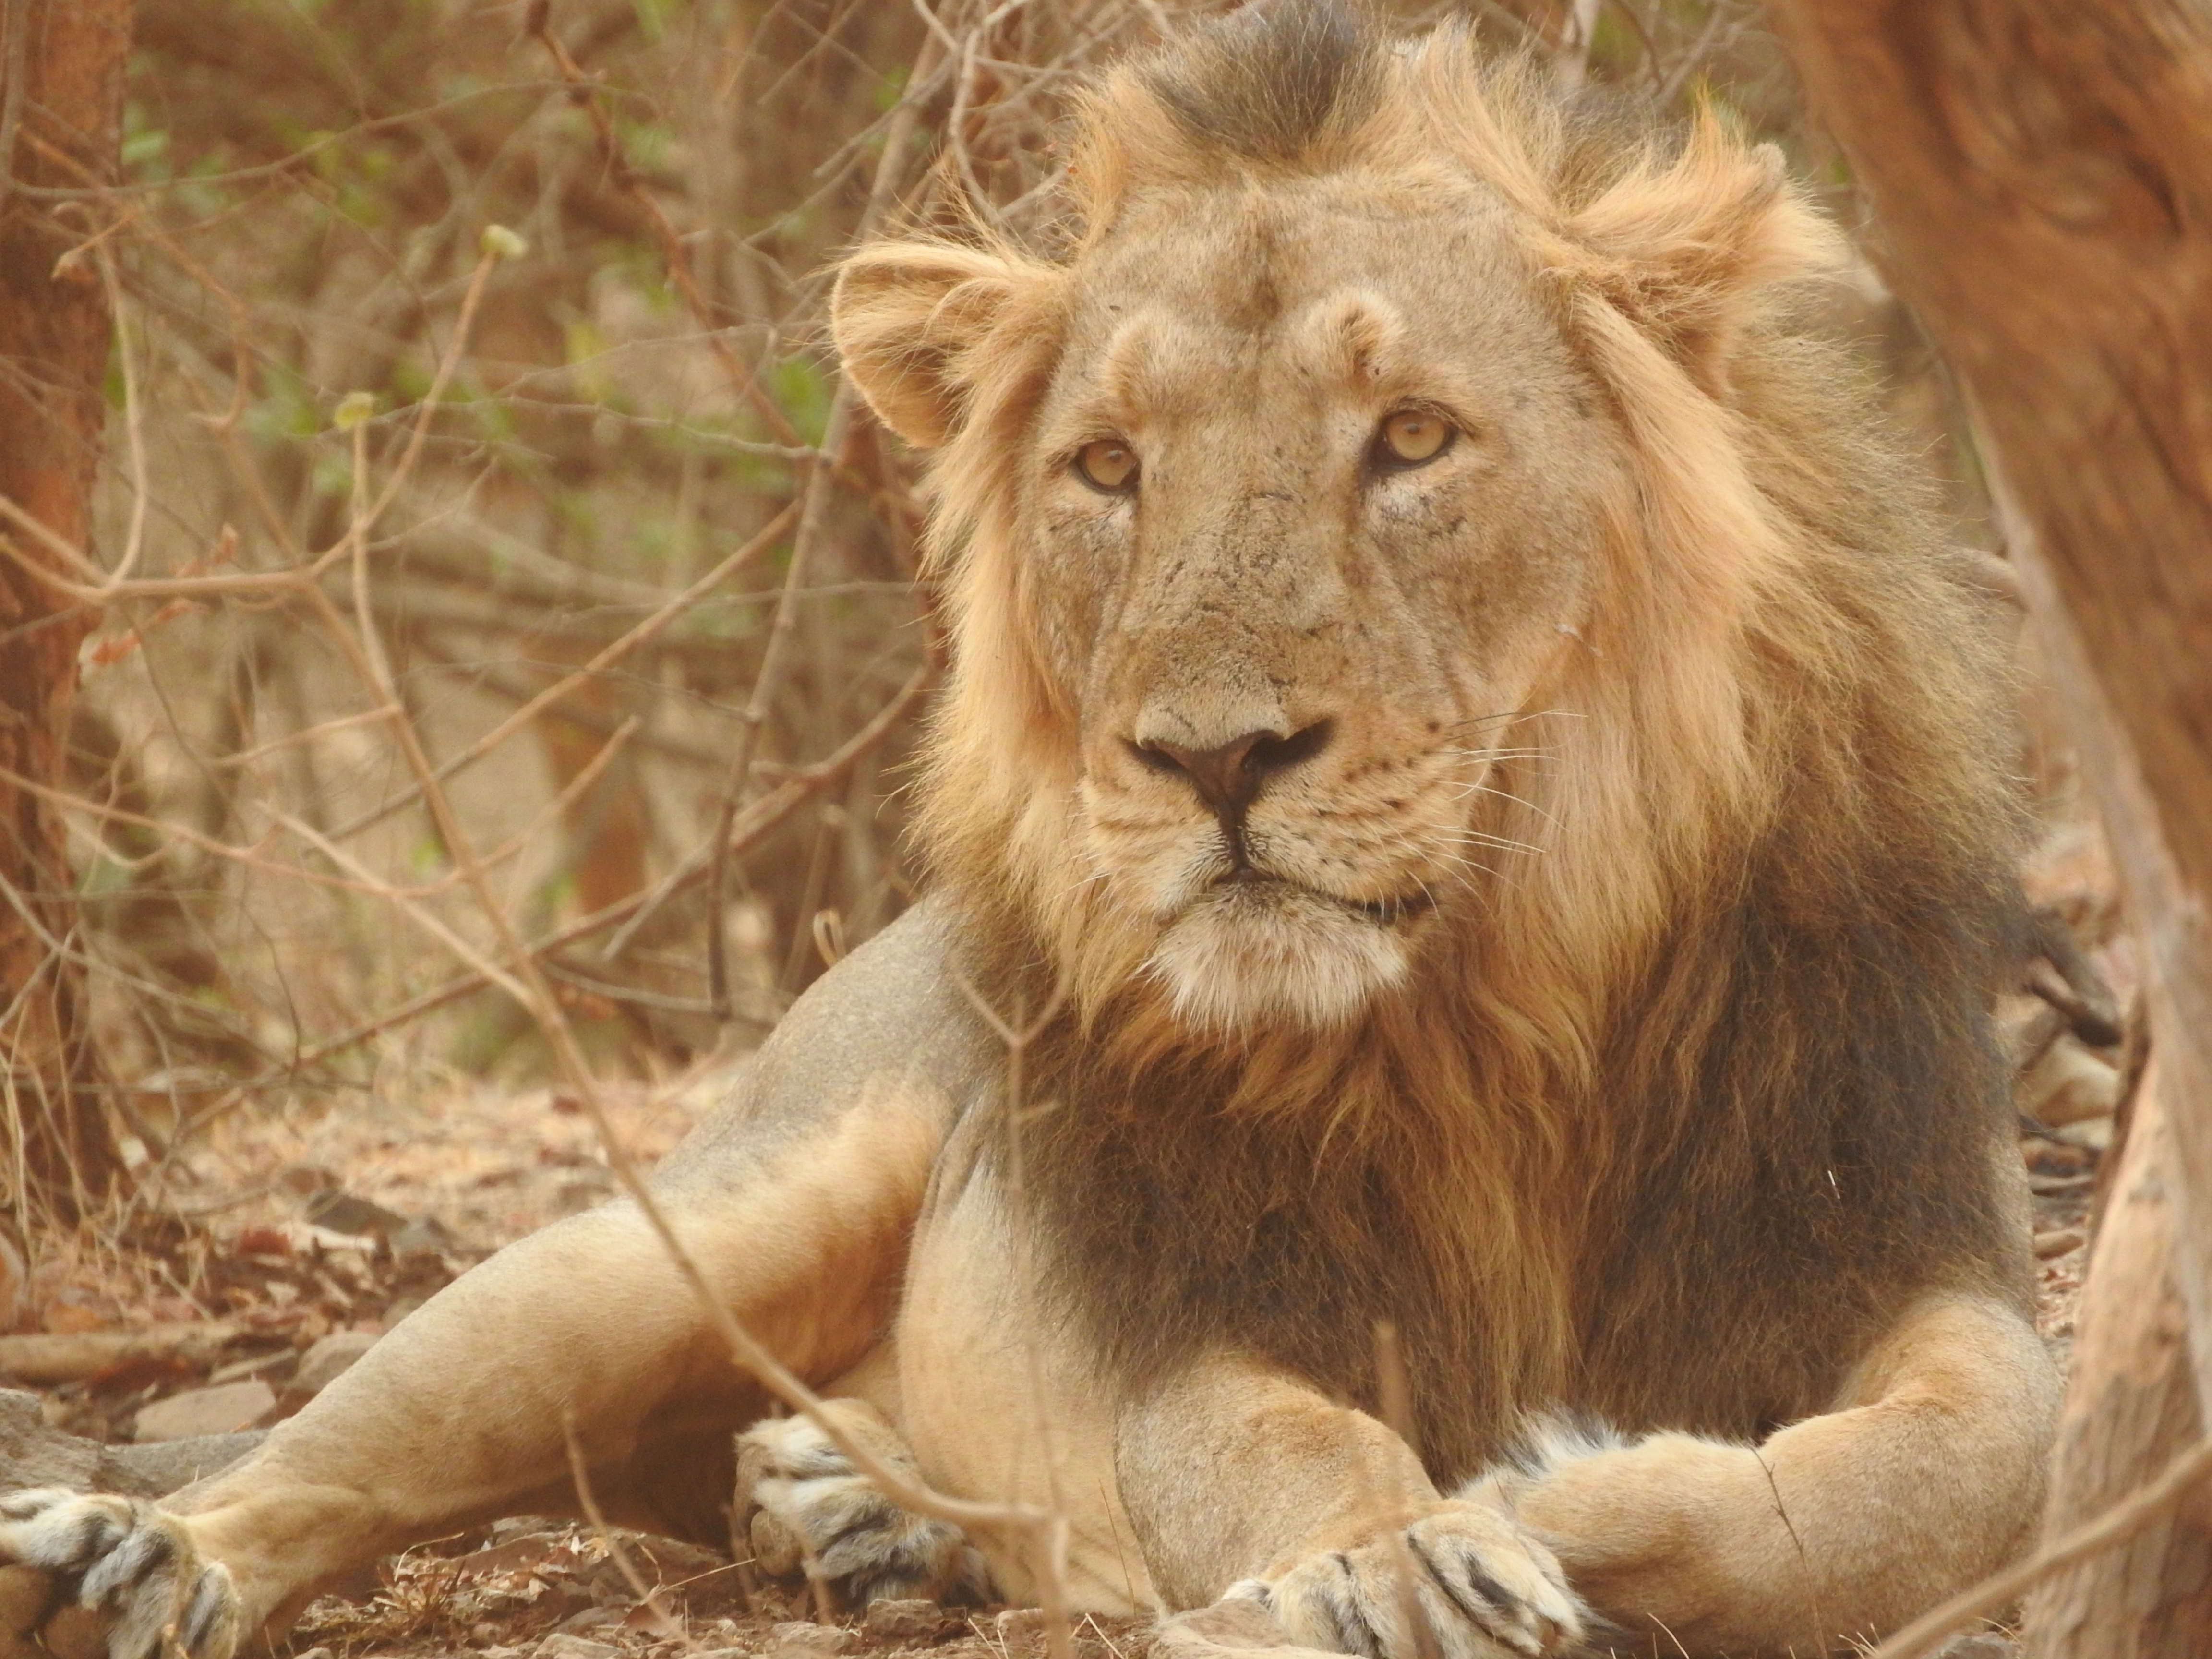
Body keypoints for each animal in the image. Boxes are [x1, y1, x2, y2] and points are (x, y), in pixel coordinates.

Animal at [9, 3, 2061, 1659]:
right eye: (1105, 468)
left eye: (1410, 437)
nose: (1210, 758)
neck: (1499, 1009)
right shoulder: (1187, 1311)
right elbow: (1286, 1443)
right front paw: (1394, 1558)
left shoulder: (1914, 1241)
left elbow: (1935, 1478)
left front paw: (1538, 1491)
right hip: (676, 1231)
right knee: (335, 1446)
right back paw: (126, 1557)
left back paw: (857, 1512)